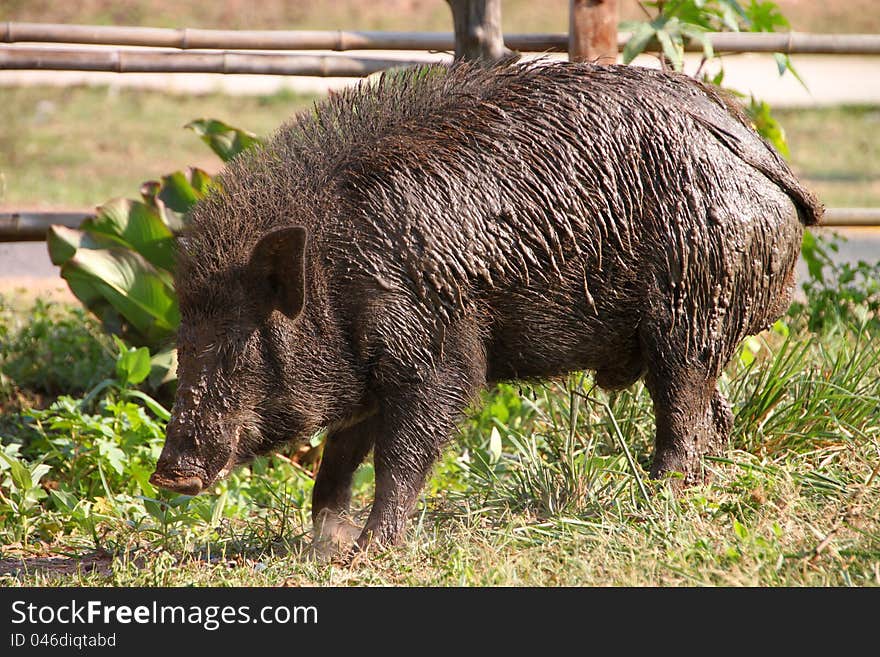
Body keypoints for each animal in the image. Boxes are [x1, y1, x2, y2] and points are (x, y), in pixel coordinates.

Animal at [151, 61, 824, 552]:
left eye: (241, 345)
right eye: (183, 344)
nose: (167, 473)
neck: (335, 279)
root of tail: (762, 154)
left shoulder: (437, 357)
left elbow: (403, 454)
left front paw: (368, 553)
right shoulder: (368, 378)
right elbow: (339, 458)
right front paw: (325, 547)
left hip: (688, 310)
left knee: (681, 409)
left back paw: (655, 496)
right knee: (713, 410)